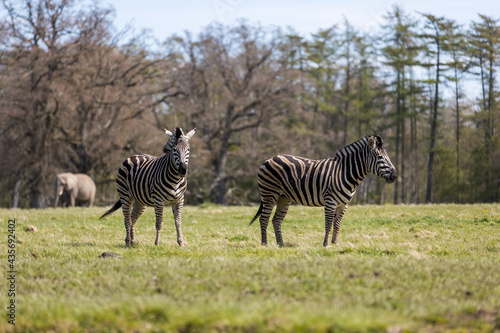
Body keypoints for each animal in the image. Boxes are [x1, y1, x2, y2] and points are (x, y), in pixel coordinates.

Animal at [250, 134, 398, 246]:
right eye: (380, 158)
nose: (395, 176)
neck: (345, 172)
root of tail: (269, 159)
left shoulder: (344, 204)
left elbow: (337, 224)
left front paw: (335, 243)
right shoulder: (330, 201)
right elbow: (328, 223)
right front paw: (326, 244)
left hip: (284, 197)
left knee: (276, 220)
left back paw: (281, 244)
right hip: (269, 194)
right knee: (264, 218)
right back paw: (264, 244)